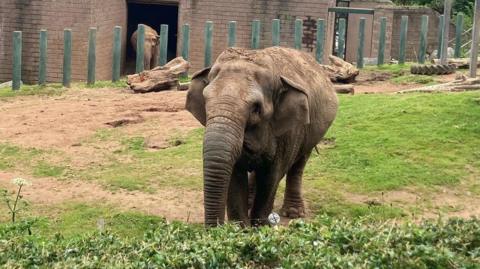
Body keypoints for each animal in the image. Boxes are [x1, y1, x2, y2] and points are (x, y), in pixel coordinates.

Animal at [184, 46, 338, 226]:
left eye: (256, 108)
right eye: (205, 100)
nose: (216, 227)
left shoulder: (289, 130)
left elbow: (271, 176)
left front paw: (259, 227)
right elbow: (235, 175)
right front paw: (240, 228)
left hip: (312, 132)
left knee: (299, 164)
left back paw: (293, 213)